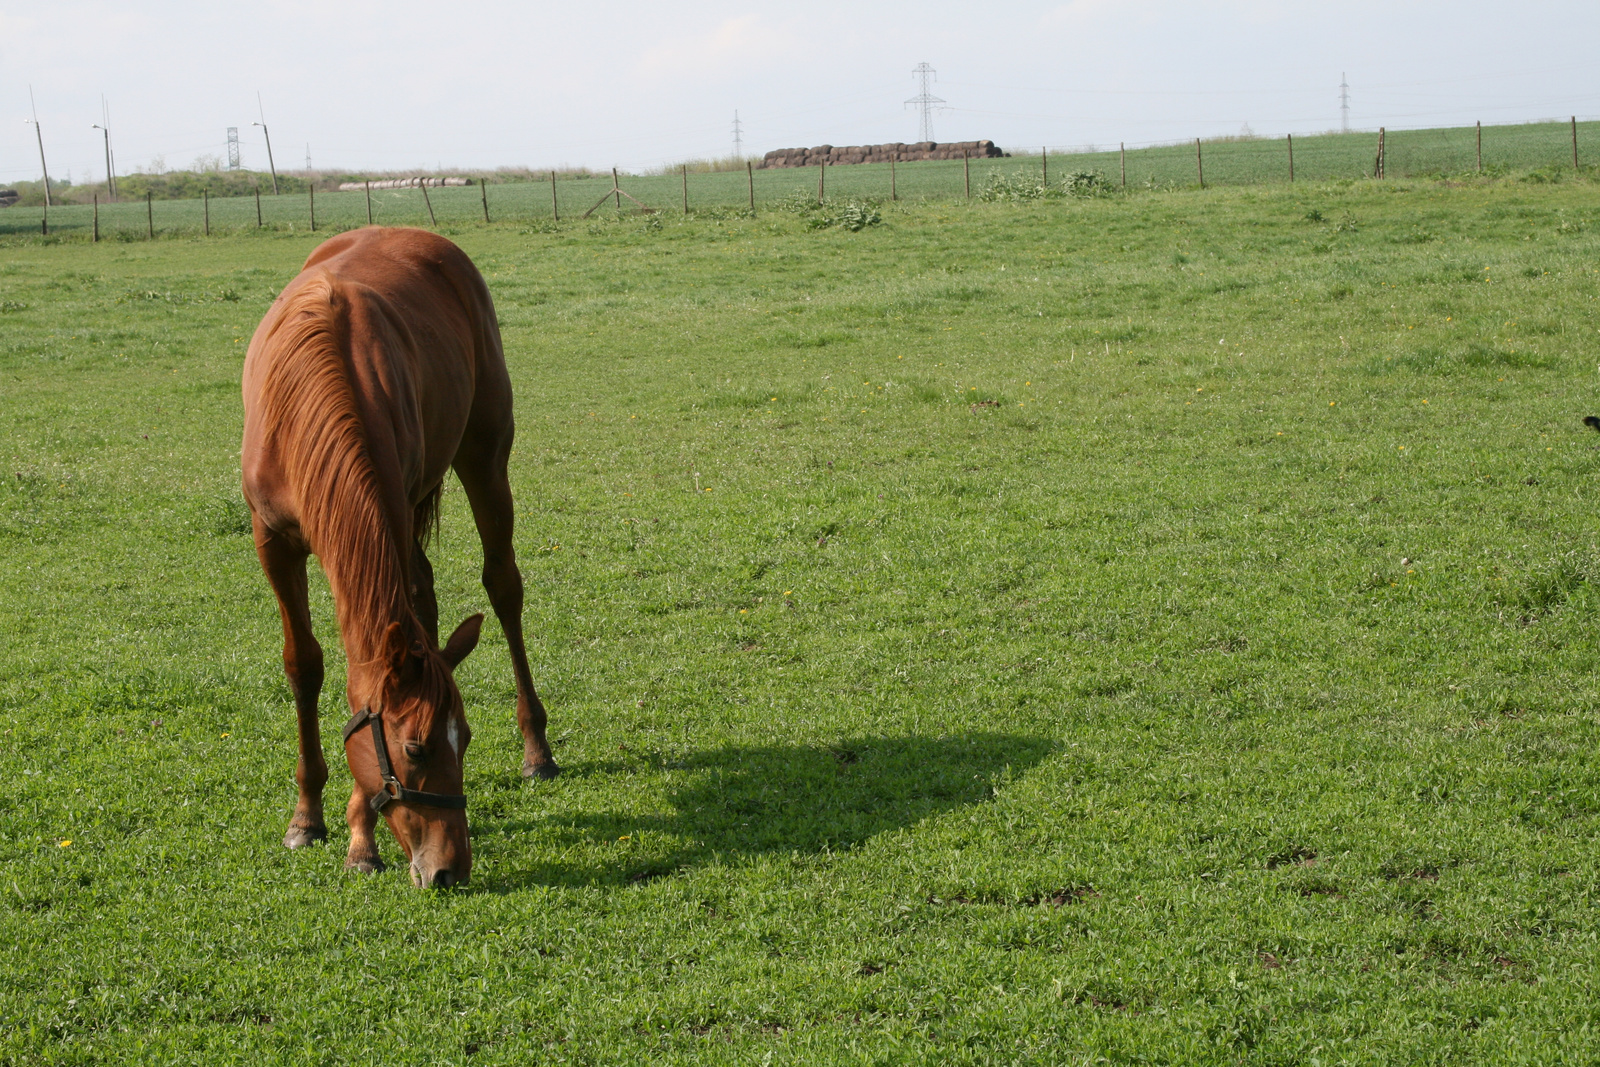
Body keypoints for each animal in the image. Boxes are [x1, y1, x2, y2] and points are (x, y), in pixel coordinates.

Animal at [240, 230, 560, 889]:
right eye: (416, 749)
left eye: (465, 738)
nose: (451, 868)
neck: (306, 390)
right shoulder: (272, 542)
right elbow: (304, 665)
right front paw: (307, 816)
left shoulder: (391, 508)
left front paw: (360, 833)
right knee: (426, 602)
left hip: (482, 456)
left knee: (502, 586)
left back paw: (537, 750)